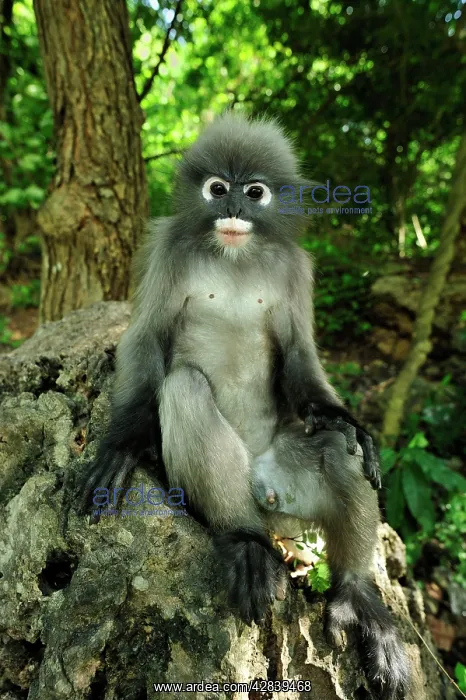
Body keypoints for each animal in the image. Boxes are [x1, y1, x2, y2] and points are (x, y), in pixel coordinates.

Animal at [80, 112, 409, 699]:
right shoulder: (166, 247)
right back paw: (247, 543)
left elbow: (300, 355)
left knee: (336, 445)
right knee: (184, 387)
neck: (233, 255)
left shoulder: (296, 268)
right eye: (217, 189)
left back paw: (356, 595)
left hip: (293, 489)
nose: (232, 208)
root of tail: (264, 494)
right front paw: (122, 445)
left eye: (253, 192)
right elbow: (145, 341)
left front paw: (344, 418)